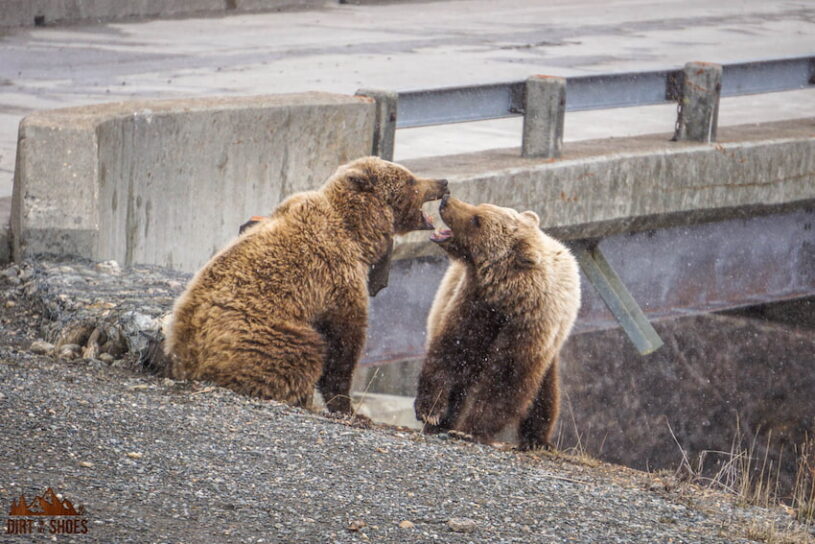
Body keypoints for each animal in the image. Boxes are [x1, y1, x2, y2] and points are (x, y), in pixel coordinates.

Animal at [165, 156, 448, 414]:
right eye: (410, 179)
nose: (442, 182)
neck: (358, 232)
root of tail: (186, 361)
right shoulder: (336, 274)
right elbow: (344, 338)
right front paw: (346, 406)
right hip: (264, 335)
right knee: (303, 353)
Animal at [414, 195, 581, 450]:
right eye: (480, 208)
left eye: (477, 219)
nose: (446, 200)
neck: (507, 297)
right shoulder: (475, 305)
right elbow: (453, 350)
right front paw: (430, 410)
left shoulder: (528, 328)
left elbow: (505, 381)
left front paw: (471, 429)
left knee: (544, 391)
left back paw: (538, 440)